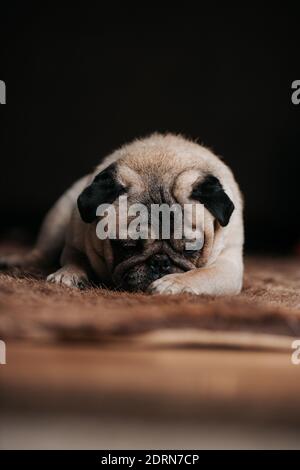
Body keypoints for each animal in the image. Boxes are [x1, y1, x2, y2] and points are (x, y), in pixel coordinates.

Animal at [0, 133, 244, 294]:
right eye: (127, 246)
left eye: (190, 248)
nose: (160, 262)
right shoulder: (75, 243)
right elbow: (75, 259)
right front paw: (67, 274)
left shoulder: (228, 267)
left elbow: (202, 274)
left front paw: (174, 283)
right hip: (58, 218)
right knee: (40, 253)